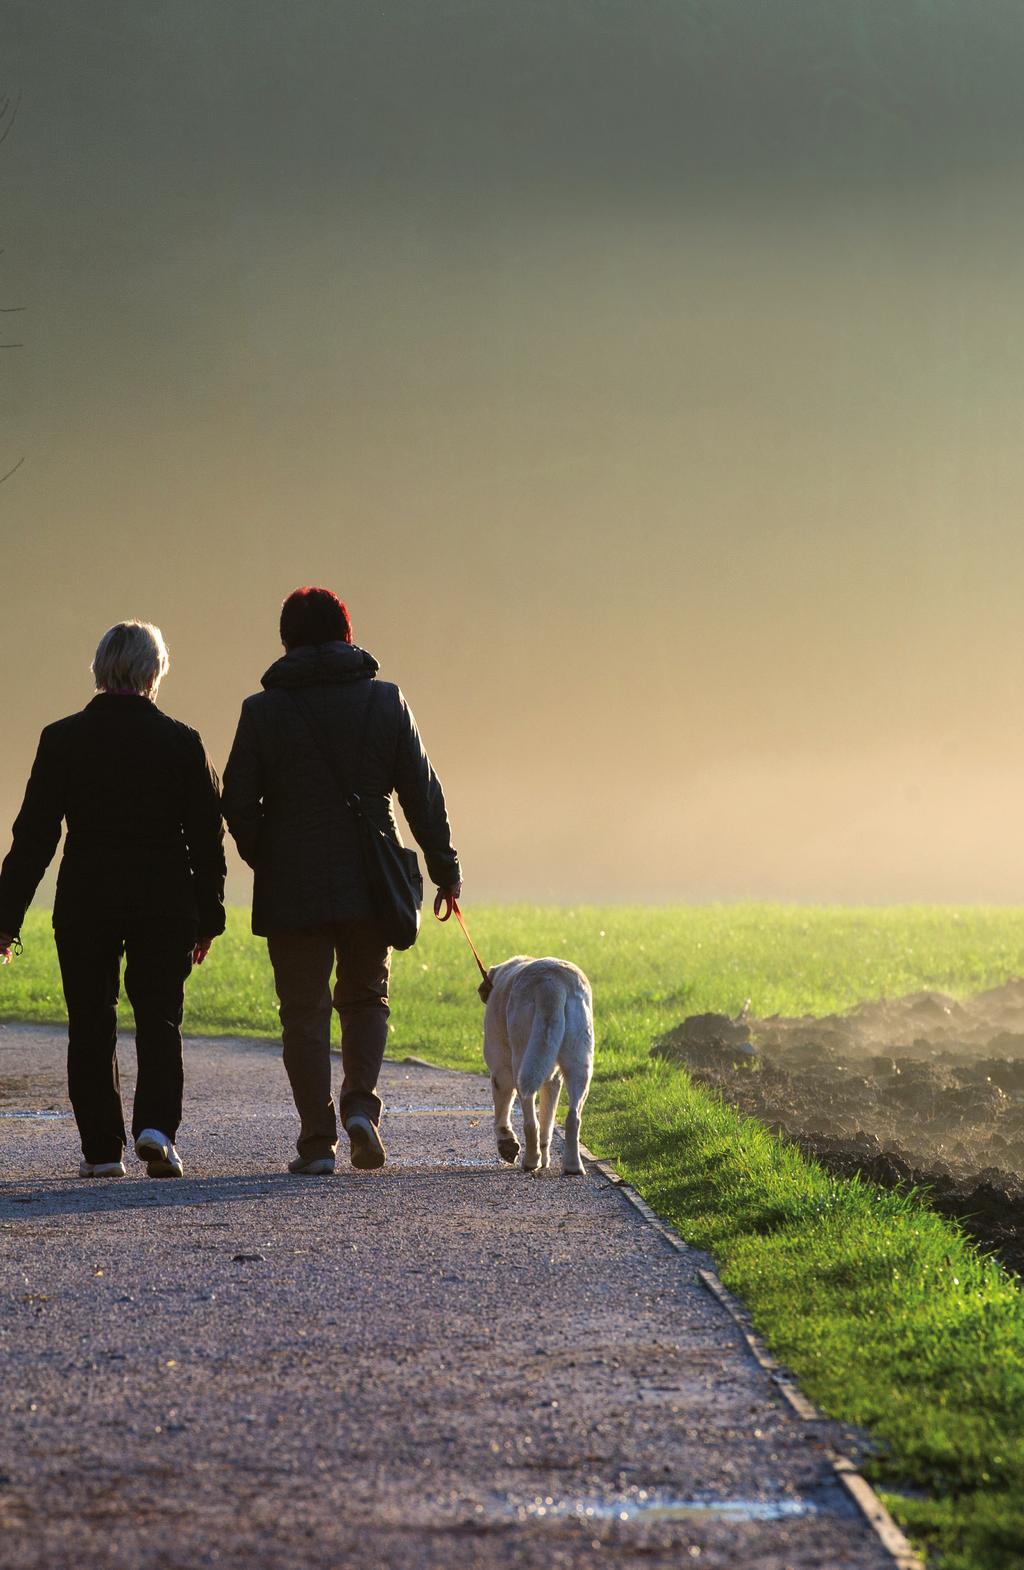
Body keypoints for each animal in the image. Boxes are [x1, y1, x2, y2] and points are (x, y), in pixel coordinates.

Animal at [480, 954, 590, 1180]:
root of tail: (552, 985)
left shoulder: (500, 1071)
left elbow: (502, 1112)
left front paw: (507, 1143)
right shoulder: (553, 1080)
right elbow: (547, 1122)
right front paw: (545, 1160)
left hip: (522, 1061)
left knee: (530, 1120)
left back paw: (530, 1161)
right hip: (578, 1063)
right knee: (572, 1117)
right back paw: (572, 1166)